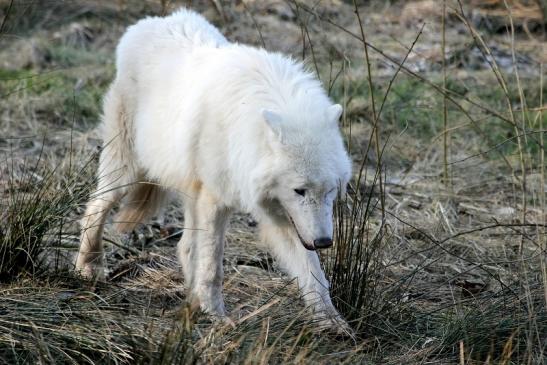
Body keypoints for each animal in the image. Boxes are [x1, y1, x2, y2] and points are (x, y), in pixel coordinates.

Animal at [76, 7, 352, 330]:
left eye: (330, 191)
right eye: (300, 190)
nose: (324, 241)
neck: (243, 131)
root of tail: (153, 21)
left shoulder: (282, 215)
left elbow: (314, 273)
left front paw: (333, 322)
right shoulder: (215, 199)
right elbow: (212, 267)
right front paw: (217, 316)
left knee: (184, 246)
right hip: (127, 171)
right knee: (95, 208)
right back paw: (88, 267)